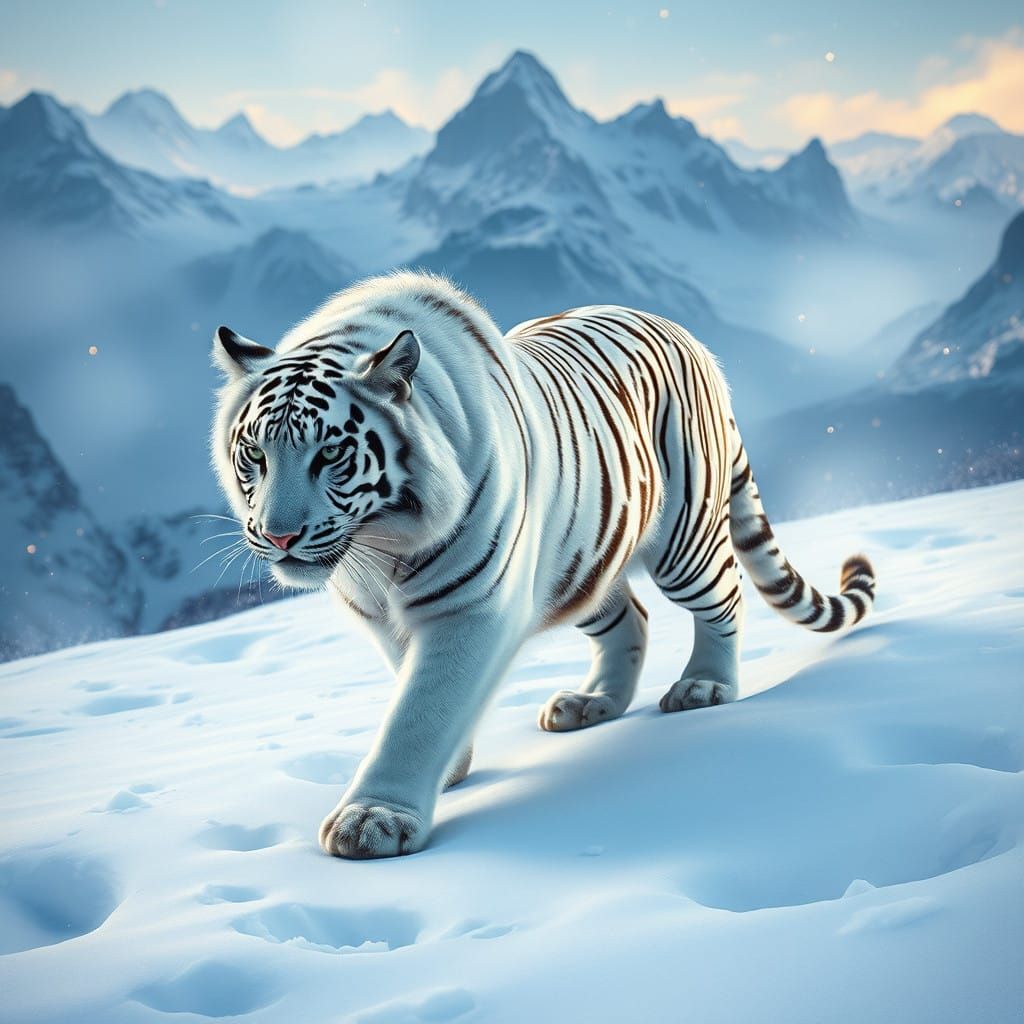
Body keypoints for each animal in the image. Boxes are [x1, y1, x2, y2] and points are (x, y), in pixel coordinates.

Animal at [211, 270, 876, 860]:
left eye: (330, 455)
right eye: (255, 454)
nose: (278, 534)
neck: (378, 549)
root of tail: (687, 337)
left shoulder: (469, 606)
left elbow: (420, 708)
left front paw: (374, 820)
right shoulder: (382, 617)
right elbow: (413, 684)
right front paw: (450, 768)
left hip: (682, 538)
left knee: (724, 596)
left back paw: (704, 686)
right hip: (579, 562)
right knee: (630, 619)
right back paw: (592, 704)